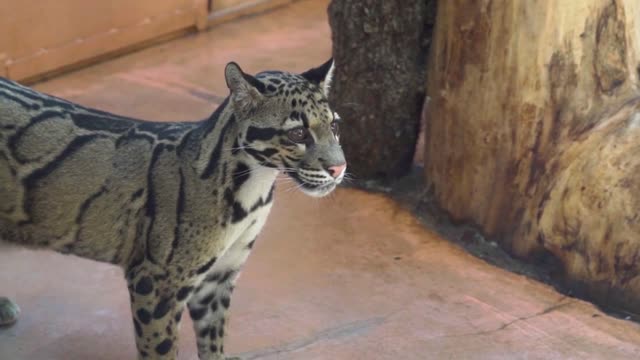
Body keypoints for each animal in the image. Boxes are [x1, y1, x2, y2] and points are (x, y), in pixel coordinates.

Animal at [0, 59, 344, 360]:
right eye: (298, 133)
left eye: (334, 125)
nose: (339, 168)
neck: (252, 189)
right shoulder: (155, 281)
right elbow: (161, 349)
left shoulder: (219, 276)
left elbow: (213, 338)